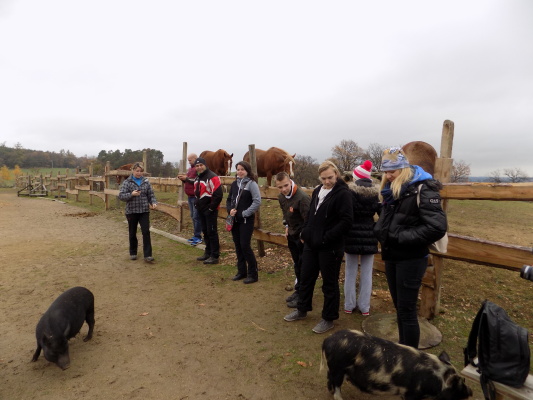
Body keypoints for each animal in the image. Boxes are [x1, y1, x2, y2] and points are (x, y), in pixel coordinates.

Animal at [321, 329, 472, 400]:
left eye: (463, 380)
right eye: (459, 383)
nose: (470, 392)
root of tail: (328, 340)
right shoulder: (411, 393)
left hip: (334, 368)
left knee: (330, 379)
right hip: (338, 367)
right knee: (336, 385)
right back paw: (338, 397)